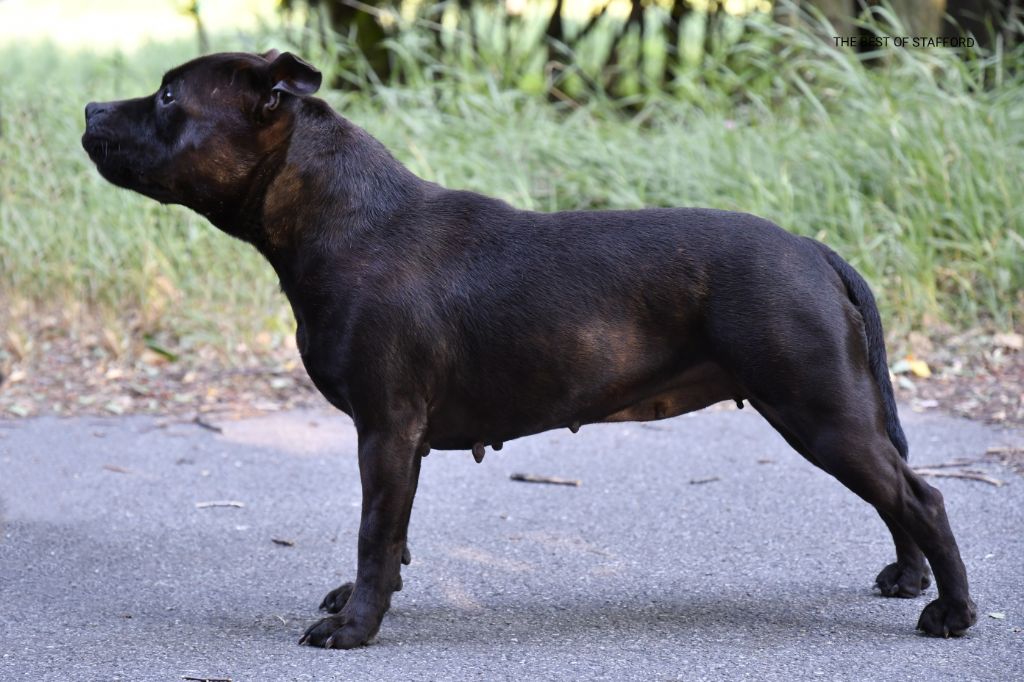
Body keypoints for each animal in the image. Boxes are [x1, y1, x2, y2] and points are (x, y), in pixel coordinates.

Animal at [79, 50, 974, 647]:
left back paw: (952, 612)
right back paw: (909, 580)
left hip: (818, 408)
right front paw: (366, 597)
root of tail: (811, 248)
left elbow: (373, 530)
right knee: (895, 492)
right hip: (837, 410)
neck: (343, 219)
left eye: (168, 94)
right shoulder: (399, 440)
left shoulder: (385, 428)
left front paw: (356, 627)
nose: (88, 108)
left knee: (920, 496)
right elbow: (392, 535)